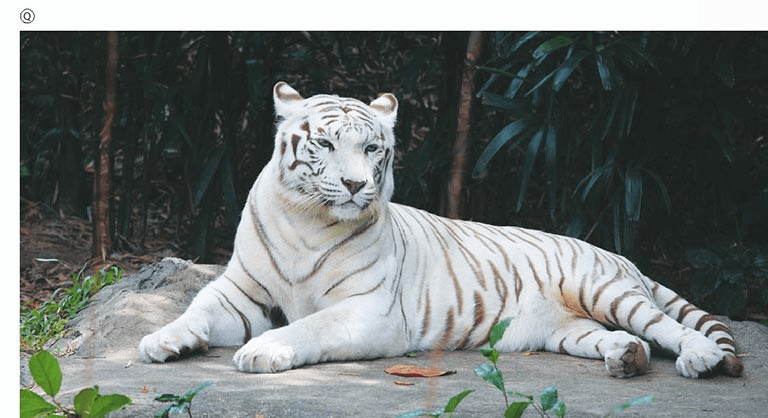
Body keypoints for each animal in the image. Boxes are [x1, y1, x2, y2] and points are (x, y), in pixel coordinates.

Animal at [139, 81, 744, 378]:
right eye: (326, 144)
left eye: (373, 148)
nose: (356, 184)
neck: (307, 220)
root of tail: (621, 255)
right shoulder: (240, 291)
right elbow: (193, 308)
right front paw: (161, 340)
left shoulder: (371, 311)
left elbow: (308, 327)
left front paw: (263, 351)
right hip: (569, 329)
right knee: (623, 338)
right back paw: (627, 360)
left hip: (605, 290)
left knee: (667, 327)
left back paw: (699, 360)